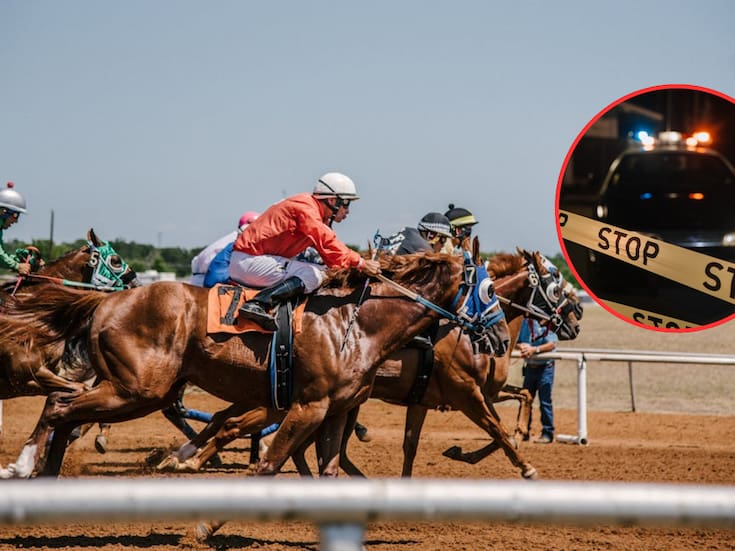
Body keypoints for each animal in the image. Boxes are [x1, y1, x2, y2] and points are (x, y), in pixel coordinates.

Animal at [2, 251, 509, 480]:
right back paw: (25, 465)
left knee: (66, 410)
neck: (356, 323)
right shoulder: (307, 404)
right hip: (137, 390)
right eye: (488, 290)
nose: (504, 339)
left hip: (135, 388)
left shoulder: (335, 408)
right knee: (61, 406)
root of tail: (108, 300)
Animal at [159, 246, 581, 480]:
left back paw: (185, 457)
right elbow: (498, 430)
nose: (575, 319)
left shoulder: (432, 398)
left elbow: (415, 444)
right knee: (237, 425)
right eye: (556, 284)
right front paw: (522, 464)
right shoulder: (465, 391)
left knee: (232, 422)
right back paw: (188, 460)